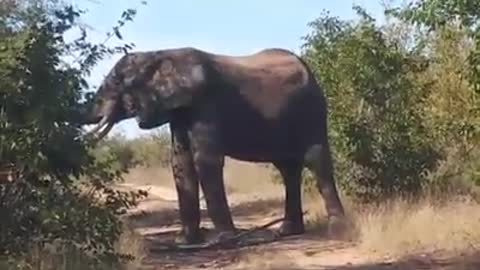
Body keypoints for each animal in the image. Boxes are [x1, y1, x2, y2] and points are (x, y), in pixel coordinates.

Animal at [79, 47, 348, 245]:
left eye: (117, 84)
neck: (158, 54)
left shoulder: (205, 104)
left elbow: (205, 161)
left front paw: (225, 241)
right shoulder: (180, 111)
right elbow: (181, 163)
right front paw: (185, 242)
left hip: (312, 111)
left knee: (316, 160)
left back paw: (337, 232)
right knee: (288, 169)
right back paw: (286, 233)